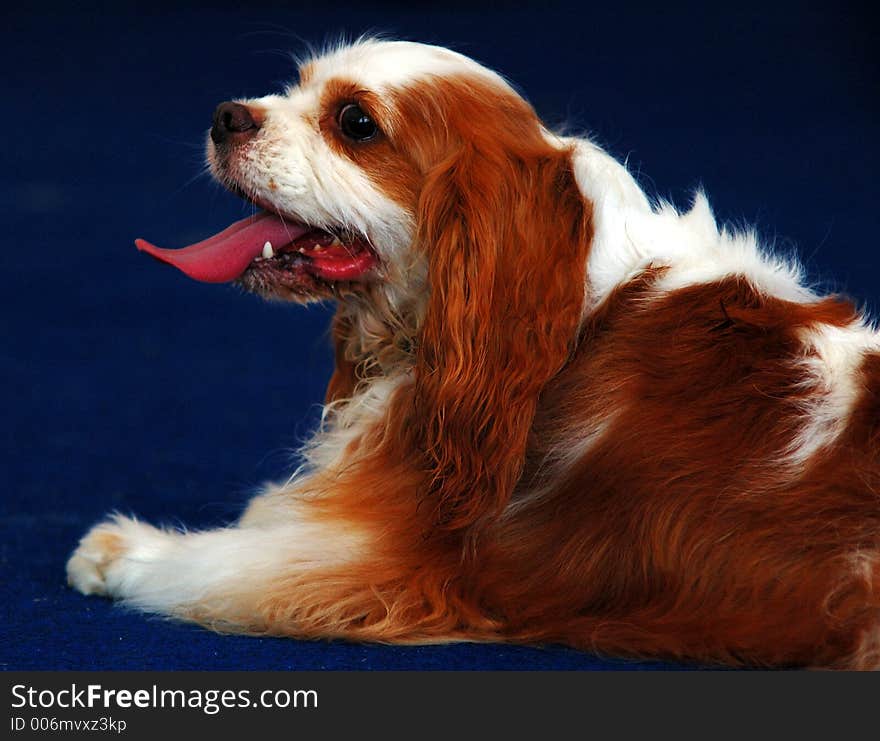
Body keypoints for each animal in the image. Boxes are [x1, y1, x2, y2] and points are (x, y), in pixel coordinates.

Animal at [67, 37, 880, 668]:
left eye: (355, 122)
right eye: (296, 87)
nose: (226, 115)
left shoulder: (385, 566)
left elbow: (214, 562)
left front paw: (119, 551)